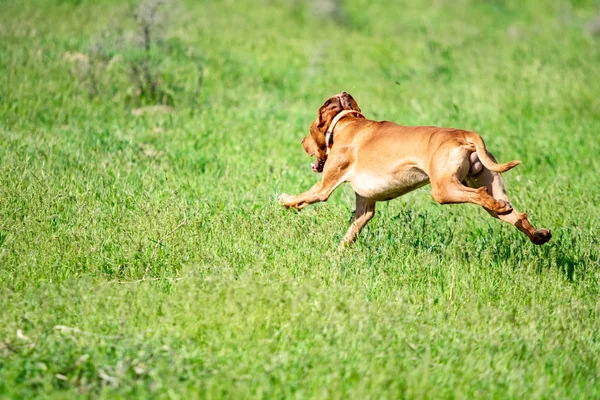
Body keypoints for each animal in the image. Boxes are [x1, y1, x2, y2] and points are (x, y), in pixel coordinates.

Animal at [278, 92, 552, 247]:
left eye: (310, 129)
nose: (301, 142)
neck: (346, 123)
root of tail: (466, 135)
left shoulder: (324, 187)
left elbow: (304, 197)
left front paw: (284, 199)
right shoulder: (365, 206)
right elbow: (350, 233)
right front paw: (336, 255)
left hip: (444, 189)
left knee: (481, 196)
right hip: (488, 183)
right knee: (517, 215)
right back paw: (539, 235)